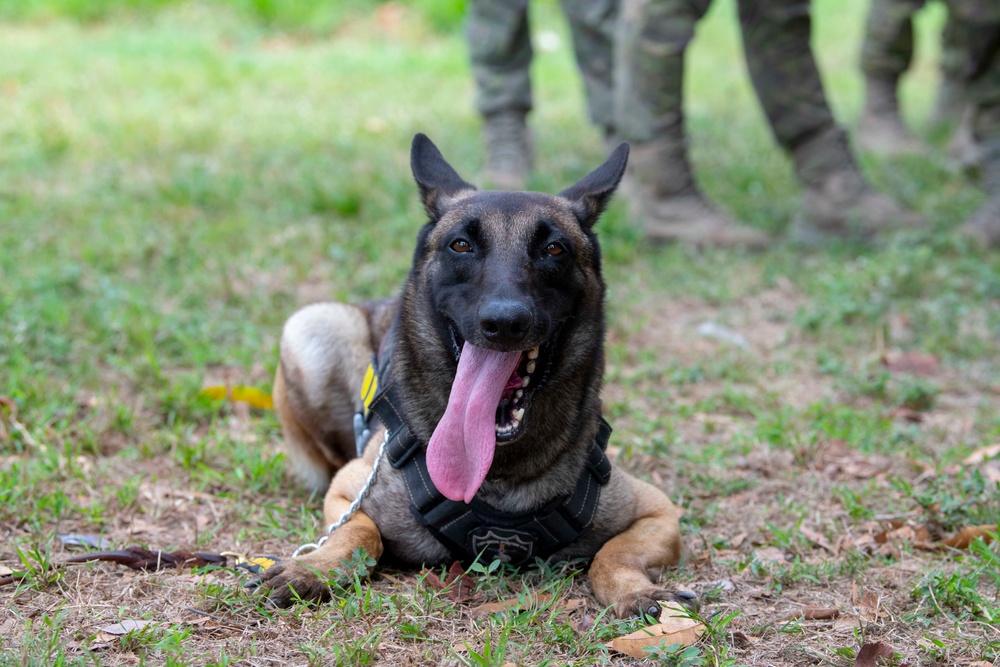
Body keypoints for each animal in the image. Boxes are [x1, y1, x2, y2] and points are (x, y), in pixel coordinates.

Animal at [258, 136, 692, 620]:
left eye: (554, 250)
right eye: (461, 245)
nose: (504, 322)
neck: (497, 472)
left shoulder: (658, 513)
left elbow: (612, 554)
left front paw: (633, 591)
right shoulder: (346, 492)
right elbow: (358, 533)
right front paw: (313, 570)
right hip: (312, 327)